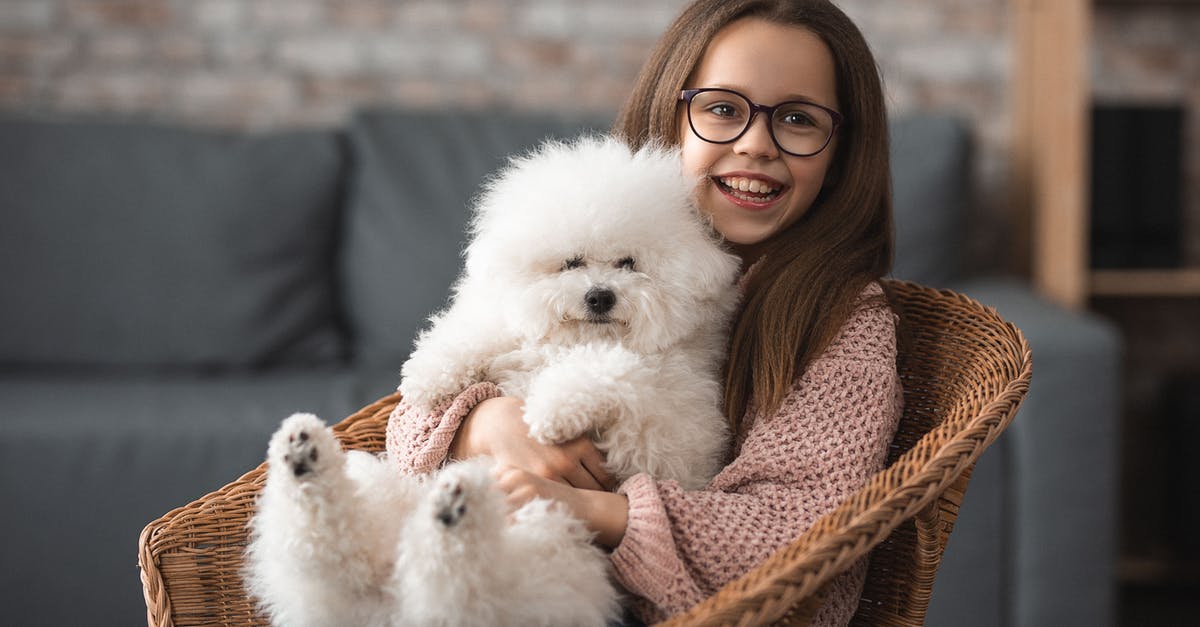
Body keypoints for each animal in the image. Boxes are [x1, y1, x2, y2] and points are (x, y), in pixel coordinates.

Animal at [403, 135, 739, 487]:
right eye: (572, 262)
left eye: (629, 263)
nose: (600, 297)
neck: (578, 341)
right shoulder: (505, 324)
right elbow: (477, 332)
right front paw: (426, 378)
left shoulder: (669, 433)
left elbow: (609, 370)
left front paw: (550, 411)